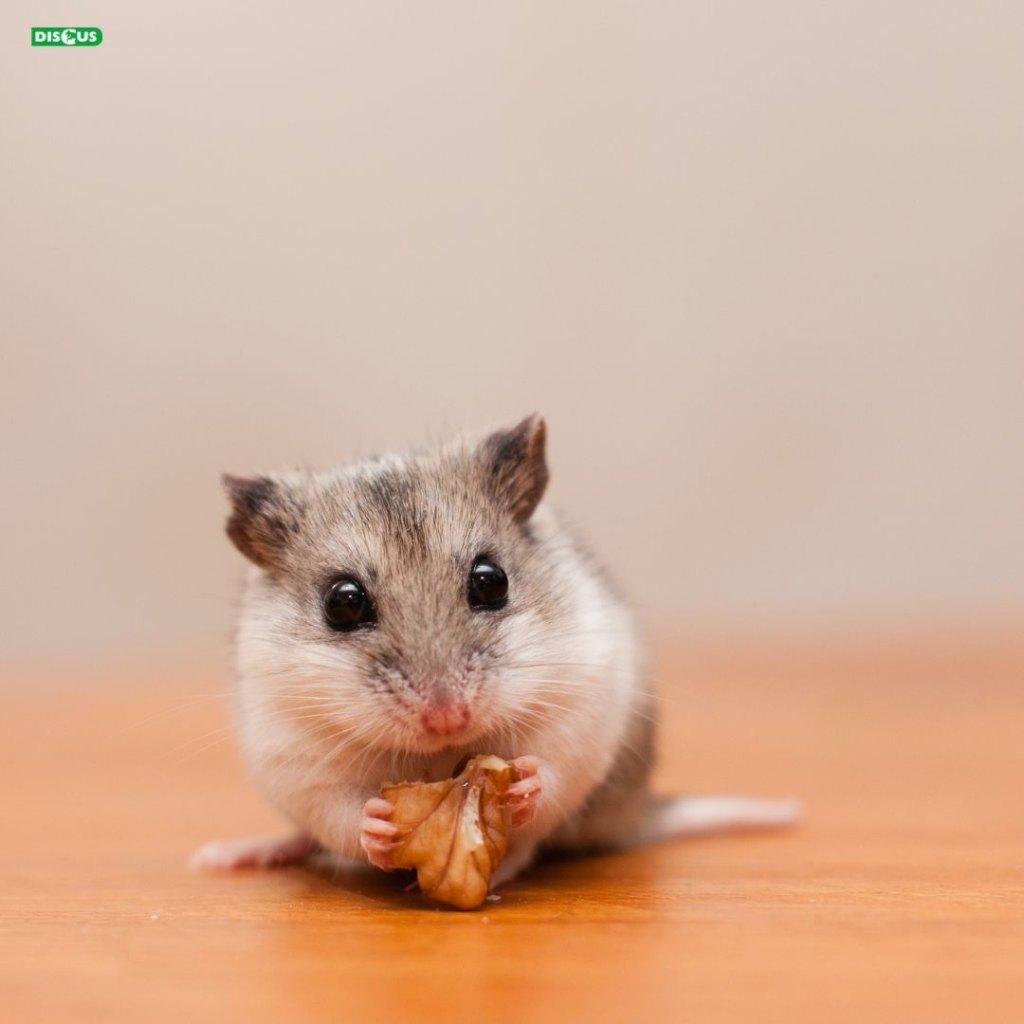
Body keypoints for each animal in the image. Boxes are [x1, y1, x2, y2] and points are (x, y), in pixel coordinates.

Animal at [192, 415, 797, 886]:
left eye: (491, 581)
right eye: (342, 603)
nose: (447, 718)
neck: (440, 755)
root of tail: (636, 813)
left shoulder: (581, 707)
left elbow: (553, 769)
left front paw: (525, 781)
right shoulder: (298, 760)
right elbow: (341, 814)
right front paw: (378, 822)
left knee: (532, 848)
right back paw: (233, 855)